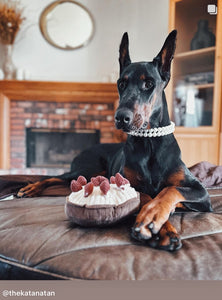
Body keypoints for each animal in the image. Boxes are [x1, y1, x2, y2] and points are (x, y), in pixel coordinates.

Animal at [17, 30, 212, 251]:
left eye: (148, 84)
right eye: (121, 84)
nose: (121, 117)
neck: (149, 144)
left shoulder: (201, 192)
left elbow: (170, 190)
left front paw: (156, 218)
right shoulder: (126, 183)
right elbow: (145, 197)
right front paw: (156, 223)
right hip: (88, 169)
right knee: (53, 177)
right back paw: (30, 188)